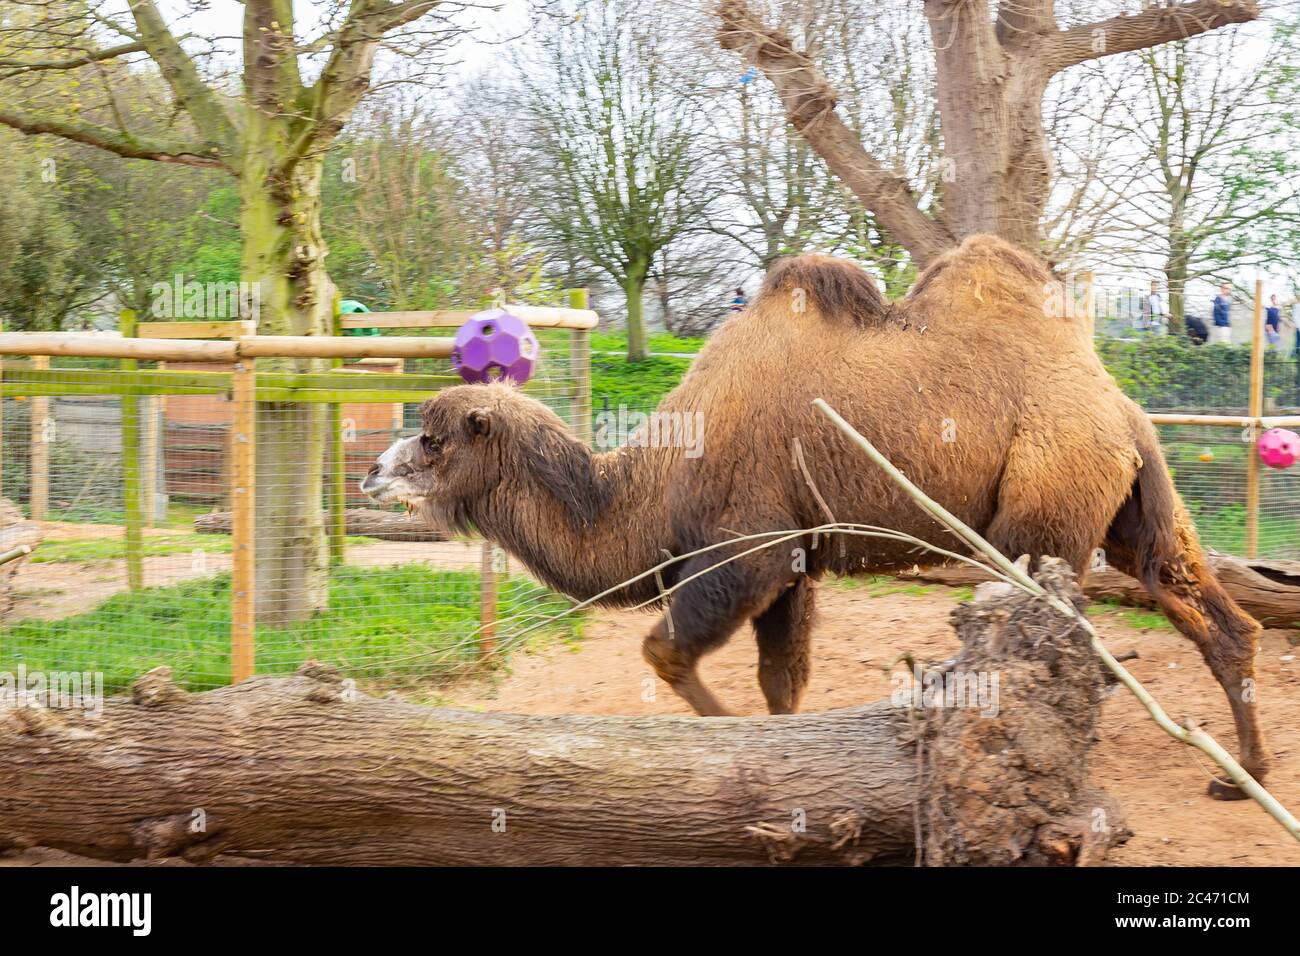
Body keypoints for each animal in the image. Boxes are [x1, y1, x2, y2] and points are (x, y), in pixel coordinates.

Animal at [361, 235, 1268, 798]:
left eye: (434, 439)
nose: (371, 471)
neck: (651, 485)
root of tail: (1124, 410)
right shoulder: (793, 558)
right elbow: (782, 680)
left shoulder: (749, 548)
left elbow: (664, 651)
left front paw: (727, 742)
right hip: (1132, 508)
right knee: (1207, 608)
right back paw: (1240, 774)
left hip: (1043, 507)